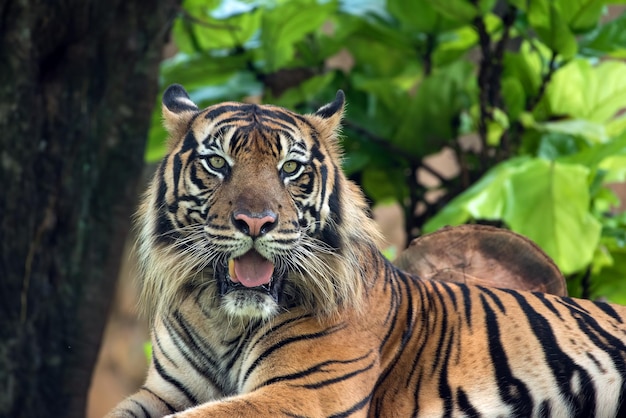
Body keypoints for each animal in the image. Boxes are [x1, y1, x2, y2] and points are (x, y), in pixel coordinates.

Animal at [106, 85, 624, 418]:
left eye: (290, 169)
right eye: (217, 163)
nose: (255, 222)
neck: (222, 318)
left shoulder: (301, 392)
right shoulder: (163, 391)